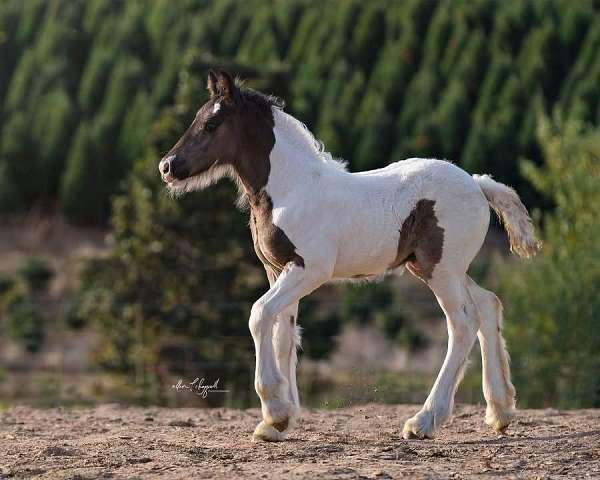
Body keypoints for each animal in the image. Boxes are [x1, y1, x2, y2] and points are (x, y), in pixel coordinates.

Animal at [158, 71, 540, 442]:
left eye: (211, 124)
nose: (167, 167)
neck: (291, 189)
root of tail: (476, 183)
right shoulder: (277, 270)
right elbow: (284, 334)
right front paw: (278, 422)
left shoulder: (309, 270)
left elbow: (259, 315)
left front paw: (275, 409)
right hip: (440, 268)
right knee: (488, 305)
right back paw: (500, 412)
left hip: (441, 271)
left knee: (462, 324)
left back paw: (424, 421)